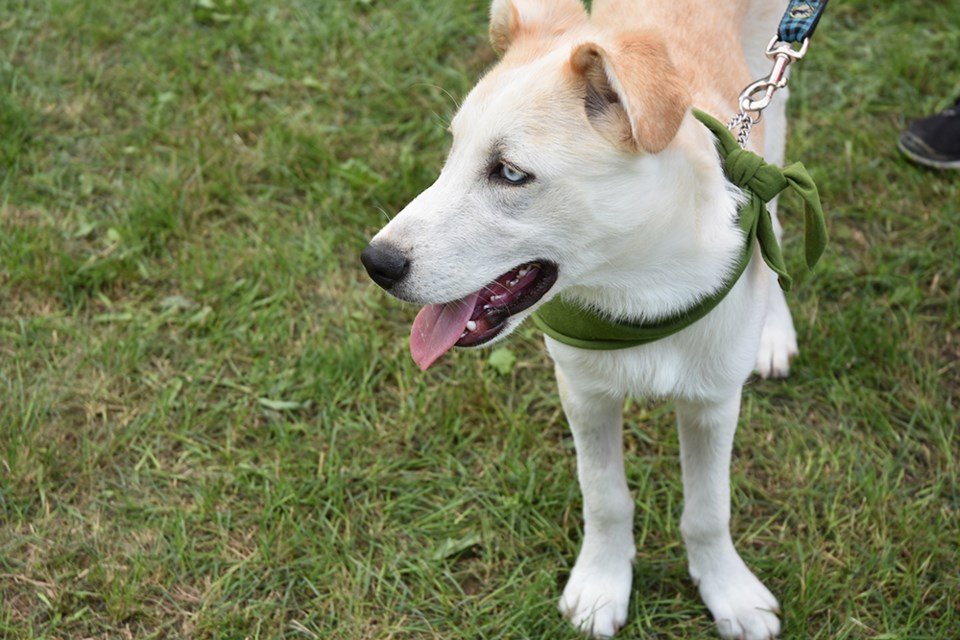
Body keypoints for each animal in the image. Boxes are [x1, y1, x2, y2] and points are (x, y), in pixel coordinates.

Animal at [360, 2, 816, 636]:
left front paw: (730, 593)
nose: (375, 263)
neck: (638, 290)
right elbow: (604, 498)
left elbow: (708, 510)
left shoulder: (713, 403)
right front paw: (602, 587)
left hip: (774, 90)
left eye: (509, 173)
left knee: (772, 205)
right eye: (451, 154)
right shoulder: (583, 392)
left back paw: (773, 329)